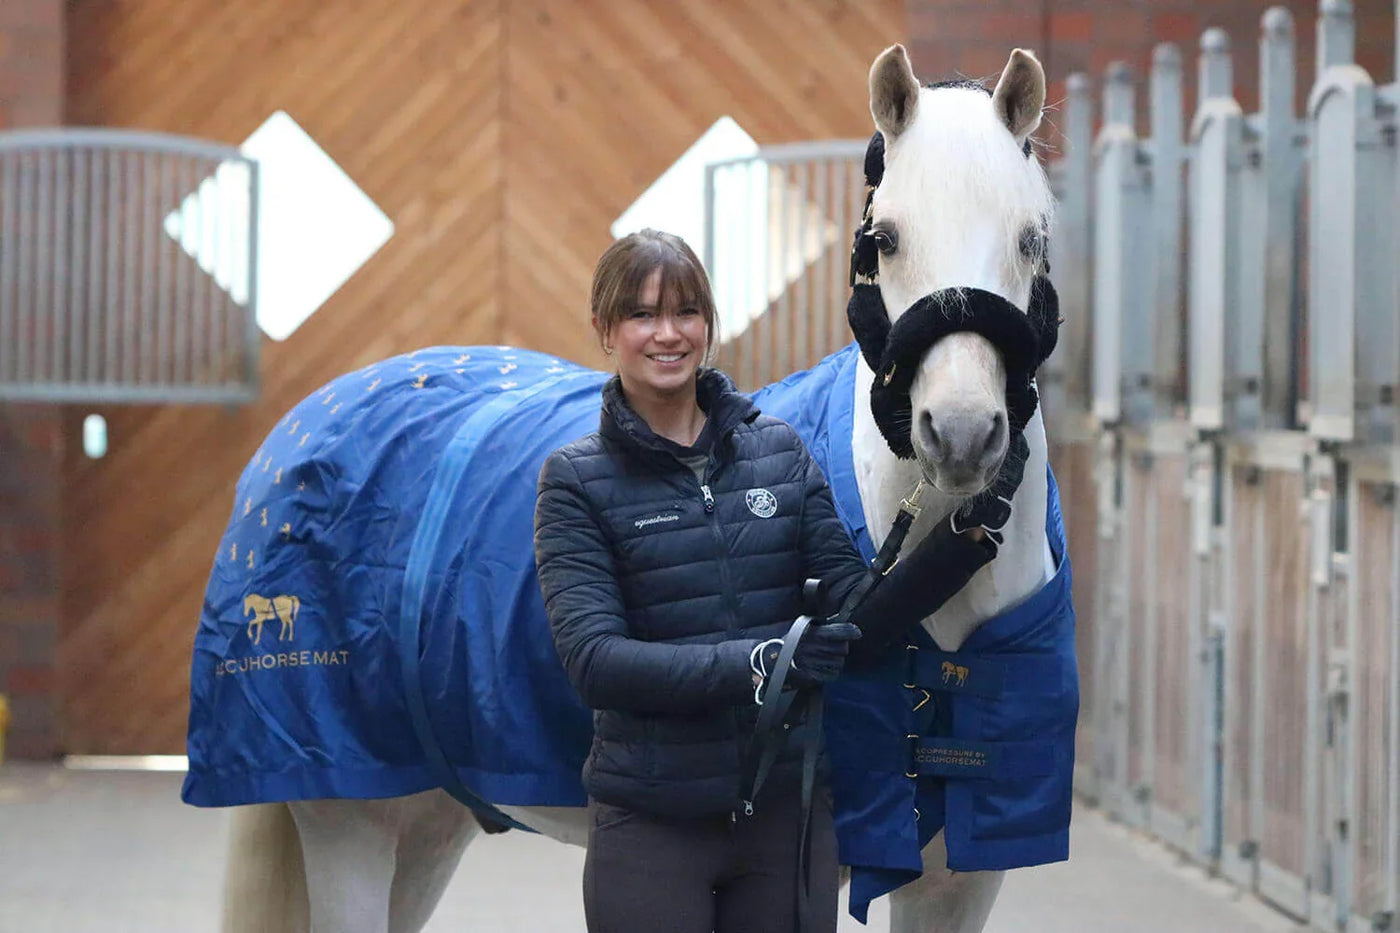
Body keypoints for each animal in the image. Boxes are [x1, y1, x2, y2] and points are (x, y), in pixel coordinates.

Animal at [192, 44, 1070, 933]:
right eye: (884, 238)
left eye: (1033, 238)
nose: (960, 432)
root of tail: (304, 428)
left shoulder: (958, 882)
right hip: (349, 818)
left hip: (428, 816)